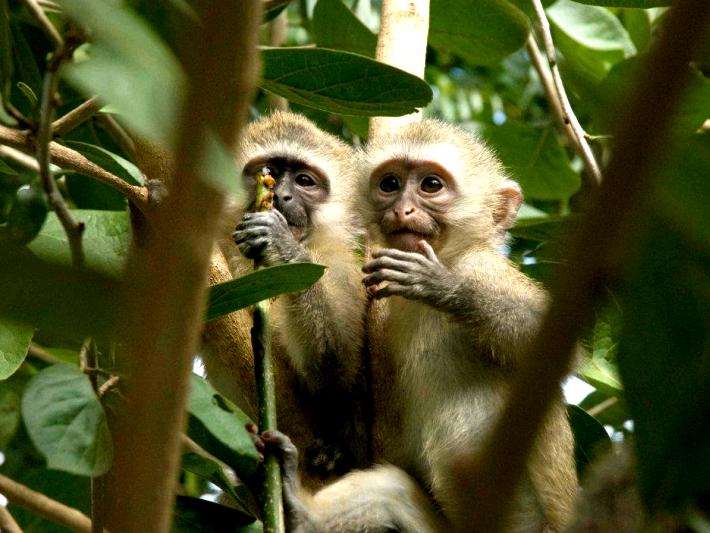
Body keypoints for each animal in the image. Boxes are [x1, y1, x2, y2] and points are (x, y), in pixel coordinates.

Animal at [200, 111, 368, 486]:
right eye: (271, 173)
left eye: (305, 181)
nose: (282, 196)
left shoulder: (335, 264)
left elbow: (333, 367)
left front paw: (279, 244)